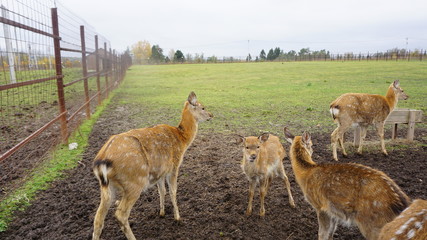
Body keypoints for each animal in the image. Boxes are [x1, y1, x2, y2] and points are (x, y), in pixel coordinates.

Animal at [93, 91, 214, 239]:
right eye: (203, 107)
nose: (211, 115)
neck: (182, 140)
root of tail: (101, 162)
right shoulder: (174, 166)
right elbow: (173, 191)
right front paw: (178, 217)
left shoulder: (160, 172)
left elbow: (162, 191)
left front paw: (162, 213)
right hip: (134, 183)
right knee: (120, 214)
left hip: (107, 187)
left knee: (98, 218)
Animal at [284, 126, 412, 239]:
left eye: (311, 144)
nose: (312, 150)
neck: (306, 174)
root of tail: (401, 203)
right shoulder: (331, 210)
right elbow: (330, 233)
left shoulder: (320, 205)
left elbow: (322, 234)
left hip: (374, 223)